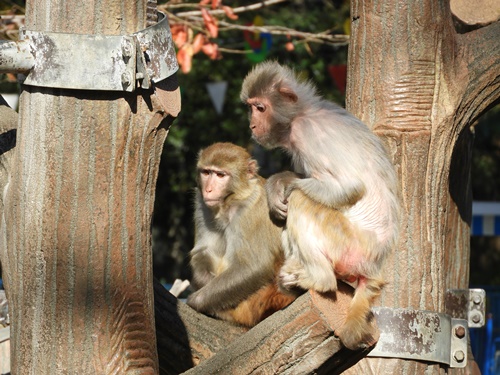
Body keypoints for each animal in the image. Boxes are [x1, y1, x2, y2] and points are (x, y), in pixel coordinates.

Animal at [186, 142, 294, 328]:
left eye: (221, 175)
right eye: (206, 172)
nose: (208, 190)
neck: (232, 200)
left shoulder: (251, 212)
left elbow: (253, 266)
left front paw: (195, 301)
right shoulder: (202, 205)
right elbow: (203, 250)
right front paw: (203, 280)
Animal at [240, 61, 400, 350]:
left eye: (260, 108)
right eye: (250, 107)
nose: (252, 125)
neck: (300, 113)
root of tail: (375, 264)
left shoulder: (308, 133)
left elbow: (349, 186)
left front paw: (286, 186)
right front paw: (276, 186)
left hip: (348, 243)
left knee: (302, 201)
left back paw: (319, 278)